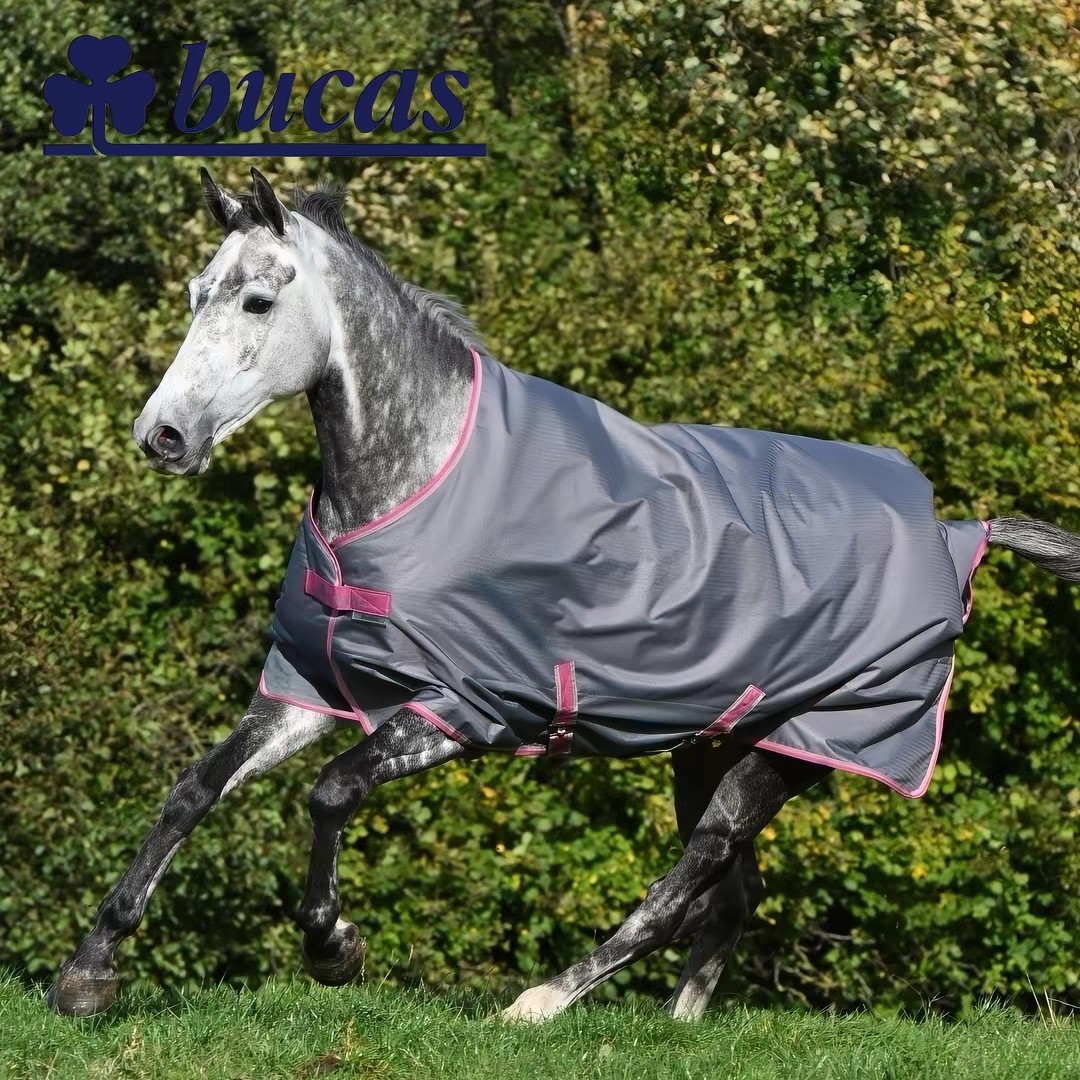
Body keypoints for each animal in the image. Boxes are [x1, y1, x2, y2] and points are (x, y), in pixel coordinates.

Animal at [49, 168, 1080, 1019]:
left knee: (690, 879)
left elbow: (331, 792)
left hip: (796, 748)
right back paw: (677, 1024)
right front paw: (90, 971)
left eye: (259, 298)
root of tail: (955, 534)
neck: (413, 482)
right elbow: (194, 788)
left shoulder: (462, 710)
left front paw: (334, 946)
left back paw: (544, 1000)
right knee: (730, 894)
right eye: (196, 294)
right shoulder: (314, 689)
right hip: (710, 746)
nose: (162, 436)